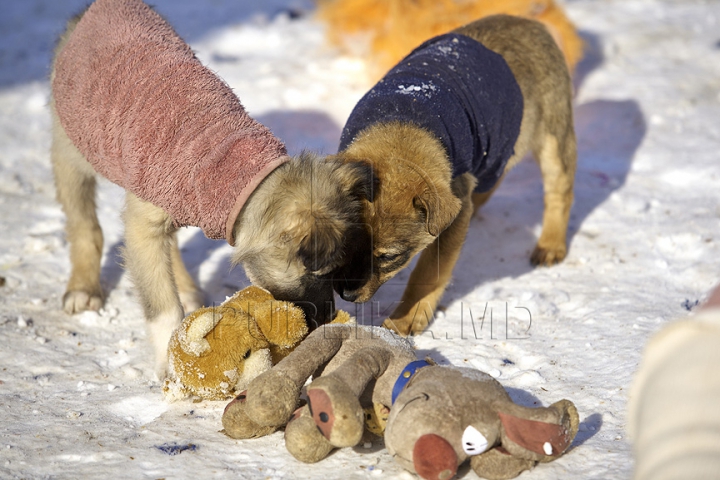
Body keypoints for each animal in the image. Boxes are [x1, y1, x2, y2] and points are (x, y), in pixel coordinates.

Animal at [334, 15, 580, 338]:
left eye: (388, 257)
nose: (345, 295)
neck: (401, 129)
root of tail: (529, 22)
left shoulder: (450, 216)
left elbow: (429, 272)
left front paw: (406, 319)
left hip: (553, 136)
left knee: (559, 191)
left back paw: (550, 245)